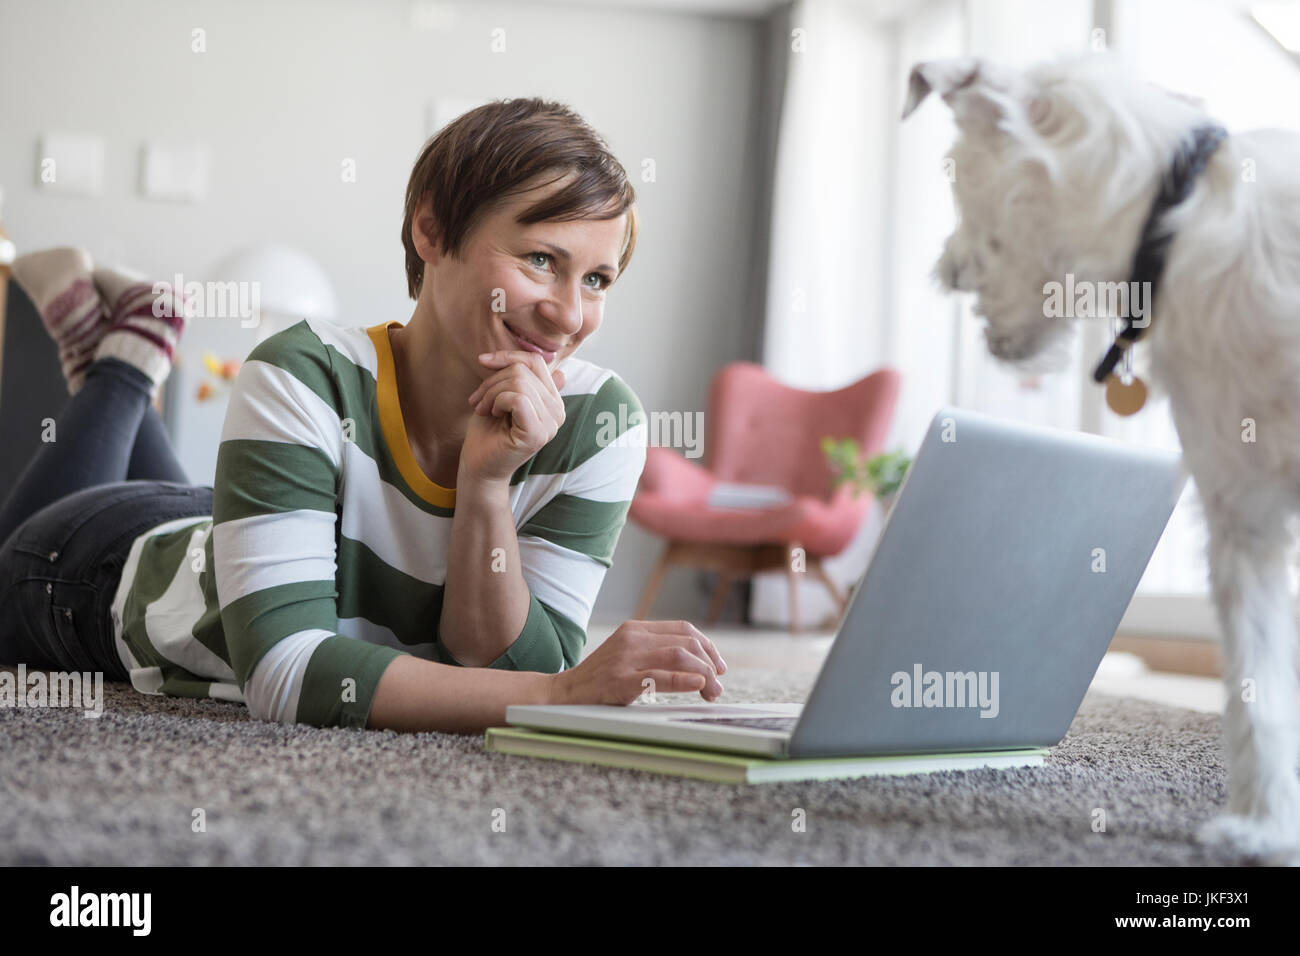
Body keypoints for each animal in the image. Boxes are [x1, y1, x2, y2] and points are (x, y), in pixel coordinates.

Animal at [904, 50, 1300, 858]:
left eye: (958, 174)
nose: (943, 272)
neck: (1173, 212)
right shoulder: (1242, 512)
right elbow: (1261, 692)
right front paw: (1268, 827)